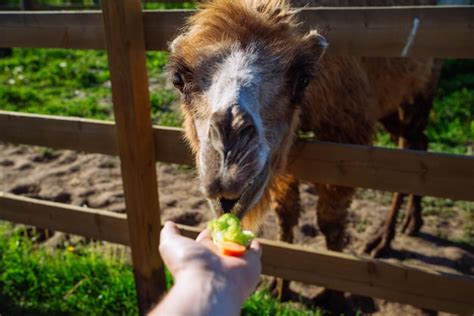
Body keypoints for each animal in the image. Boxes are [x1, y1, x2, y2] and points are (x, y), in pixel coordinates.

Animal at [168, 0, 440, 302]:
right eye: (178, 79)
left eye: (303, 79)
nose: (228, 156)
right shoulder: (285, 149)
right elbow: (286, 213)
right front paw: (280, 287)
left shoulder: (347, 131)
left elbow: (330, 221)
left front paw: (334, 295)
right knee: (417, 143)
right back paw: (408, 224)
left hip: (420, 92)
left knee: (411, 148)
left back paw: (383, 239)